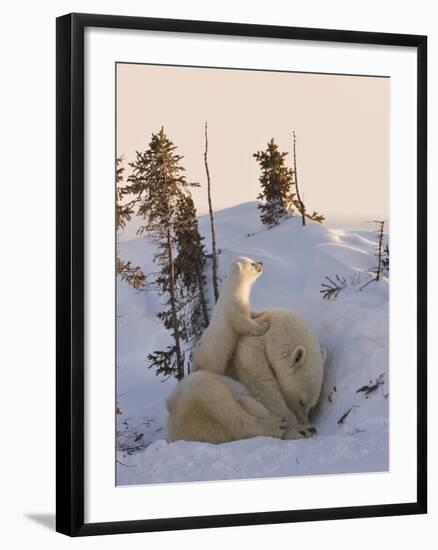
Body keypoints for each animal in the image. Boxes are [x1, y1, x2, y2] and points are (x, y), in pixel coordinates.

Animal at [166, 258, 326, 444]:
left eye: (312, 406)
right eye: (301, 401)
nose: (306, 420)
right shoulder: (250, 347)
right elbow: (263, 385)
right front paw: (300, 427)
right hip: (194, 392)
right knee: (221, 403)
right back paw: (278, 426)